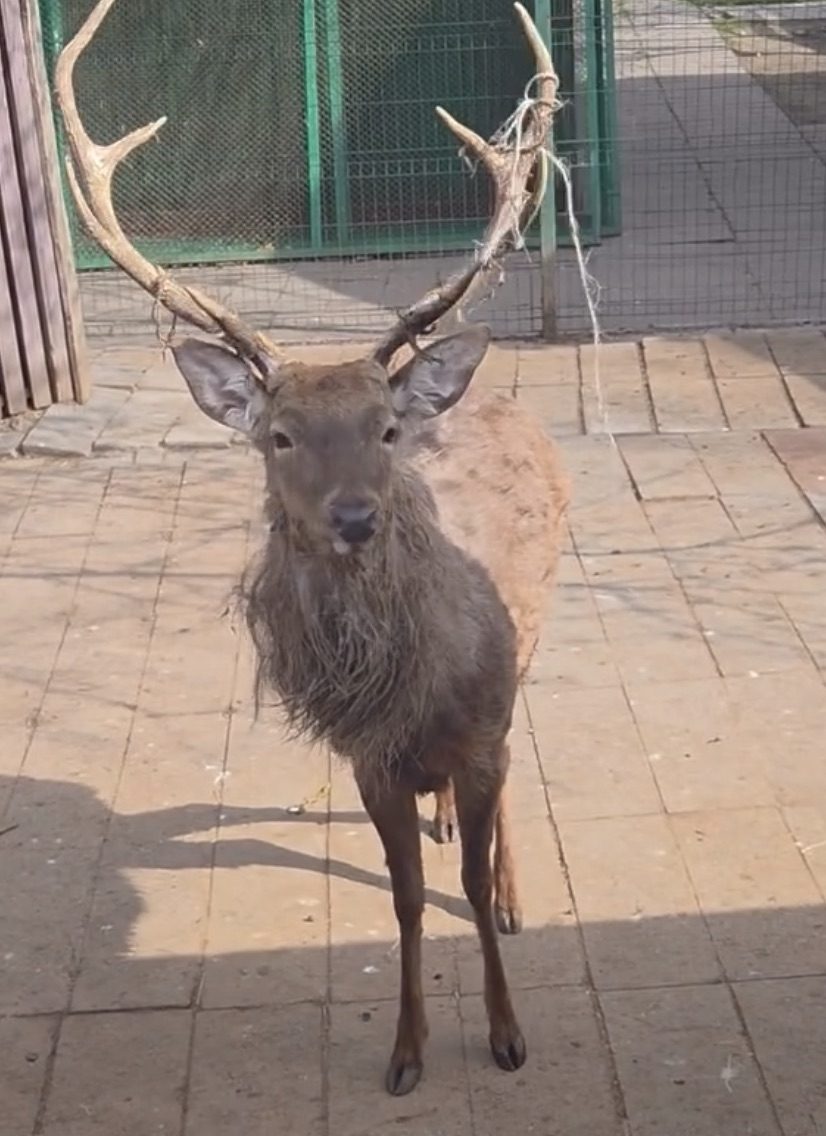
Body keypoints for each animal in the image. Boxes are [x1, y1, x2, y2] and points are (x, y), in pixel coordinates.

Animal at [55, 0, 570, 1096]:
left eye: (385, 426)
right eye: (280, 434)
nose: (355, 517)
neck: (416, 689)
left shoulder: (483, 730)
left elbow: (466, 884)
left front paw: (507, 1031)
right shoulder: (366, 757)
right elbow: (405, 898)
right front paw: (407, 1051)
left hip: (537, 636)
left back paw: (506, 877)